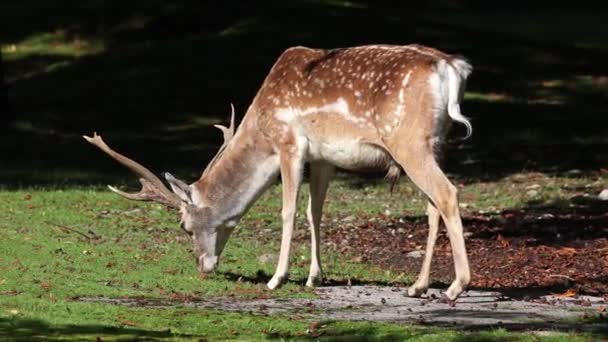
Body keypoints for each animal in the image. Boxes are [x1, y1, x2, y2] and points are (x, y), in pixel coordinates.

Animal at [84, 44, 476, 300]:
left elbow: (288, 211)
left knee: (447, 194)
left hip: (408, 141)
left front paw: (277, 277)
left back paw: (456, 287)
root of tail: (452, 68)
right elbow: (315, 211)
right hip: (435, 143)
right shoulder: (323, 158)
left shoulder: (289, 144)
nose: (202, 266)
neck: (260, 124)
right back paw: (418, 285)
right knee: (432, 208)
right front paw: (315, 278)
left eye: (184, 226)